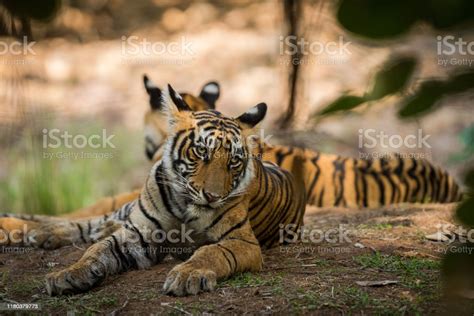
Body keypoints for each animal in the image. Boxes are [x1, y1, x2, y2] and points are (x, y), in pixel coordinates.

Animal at [43, 83, 304, 296]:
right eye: (201, 151)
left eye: (234, 162)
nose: (213, 197)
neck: (184, 206)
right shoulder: (139, 234)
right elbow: (96, 250)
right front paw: (67, 274)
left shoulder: (242, 241)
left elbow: (211, 252)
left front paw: (188, 275)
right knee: (96, 221)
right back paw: (47, 233)